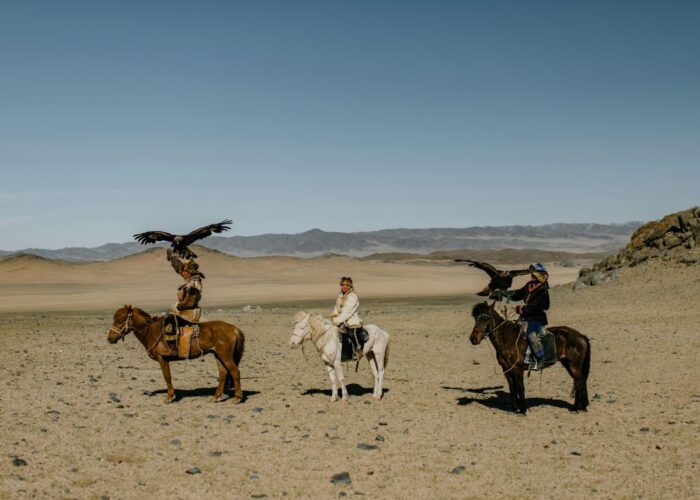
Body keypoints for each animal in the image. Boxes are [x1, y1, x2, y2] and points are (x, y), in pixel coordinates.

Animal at [105, 304, 245, 402]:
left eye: (121, 320)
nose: (110, 338)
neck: (152, 331)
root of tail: (234, 329)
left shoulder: (162, 358)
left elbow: (167, 377)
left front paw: (169, 397)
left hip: (225, 356)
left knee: (235, 372)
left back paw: (237, 398)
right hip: (218, 355)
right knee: (223, 373)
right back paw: (216, 397)